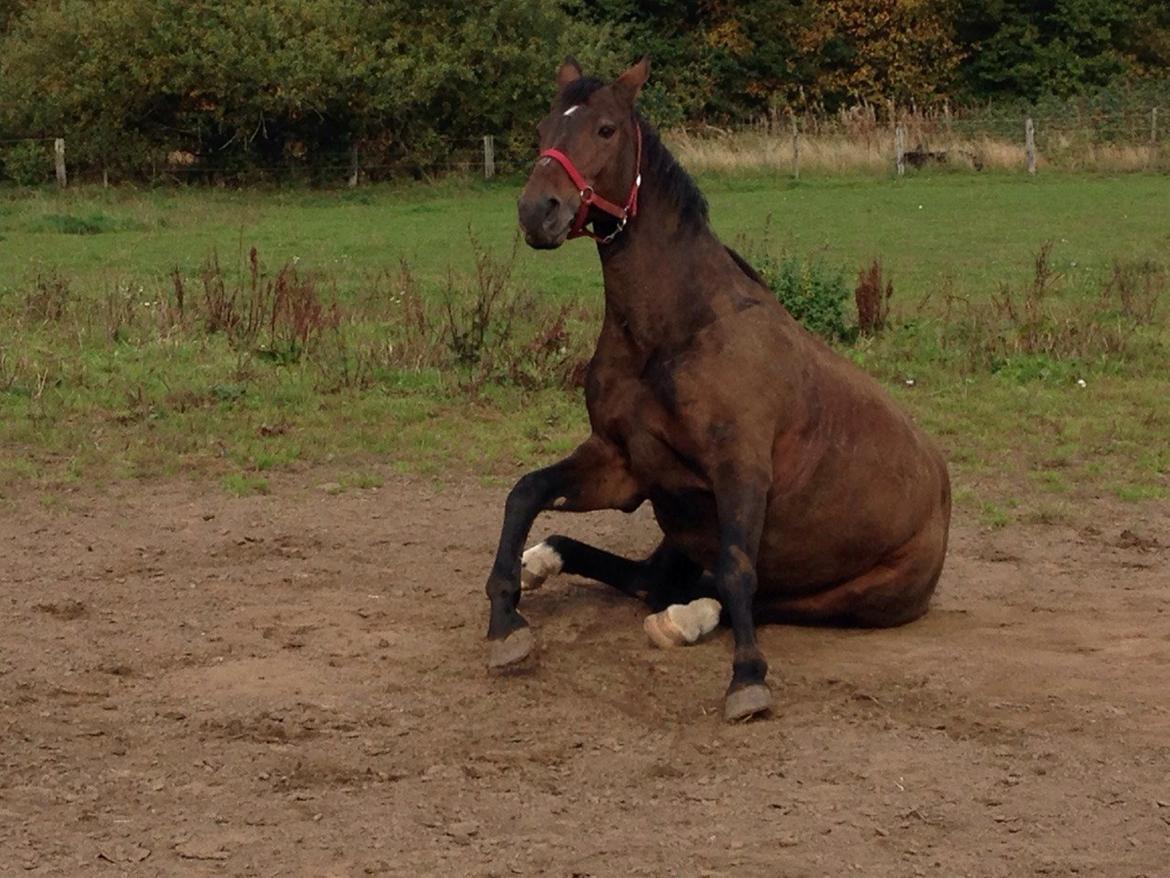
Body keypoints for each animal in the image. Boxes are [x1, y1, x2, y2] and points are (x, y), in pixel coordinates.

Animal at [484, 58, 950, 725]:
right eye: (546, 127)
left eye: (605, 129)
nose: (537, 211)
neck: (677, 331)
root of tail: (941, 485)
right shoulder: (624, 466)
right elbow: (524, 493)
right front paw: (506, 619)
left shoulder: (741, 471)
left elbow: (737, 573)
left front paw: (747, 681)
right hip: (681, 525)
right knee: (652, 579)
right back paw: (551, 563)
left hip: (861, 594)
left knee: (751, 594)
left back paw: (688, 619)